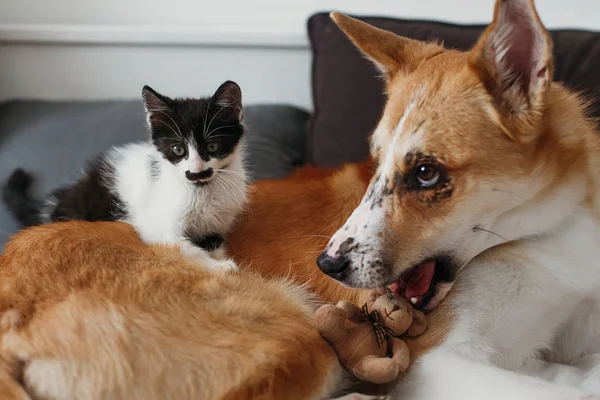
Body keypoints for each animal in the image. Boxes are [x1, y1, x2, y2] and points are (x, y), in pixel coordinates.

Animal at [2, 80, 246, 270]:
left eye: (212, 146)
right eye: (178, 150)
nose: (195, 171)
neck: (203, 189)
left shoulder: (218, 223)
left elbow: (215, 242)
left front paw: (219, 258)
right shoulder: (155, 225)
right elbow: (183, 246)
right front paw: (220, 268)